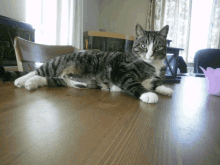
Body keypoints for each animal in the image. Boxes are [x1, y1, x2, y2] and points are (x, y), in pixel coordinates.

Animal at [10, 23, 173, 103]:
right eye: (144, 45)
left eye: (158, 46)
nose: (150, 54)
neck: (152, 65)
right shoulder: (119, 70)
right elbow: (132, 82)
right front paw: (148, 94)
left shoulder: (154, 77)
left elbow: (156, 83)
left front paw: (165, 89)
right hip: (57, 63)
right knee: (37, 70)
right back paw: (21, 80)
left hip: (68, 82)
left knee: (47, 79)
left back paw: (32, 83)